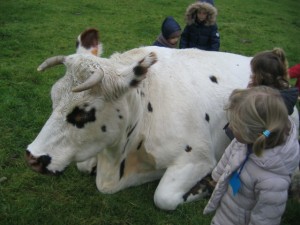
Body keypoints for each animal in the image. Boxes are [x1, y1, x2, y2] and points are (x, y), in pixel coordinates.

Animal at [25, 32, 298, 211]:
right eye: (53, 99)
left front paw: (204, 187)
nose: (32, 157)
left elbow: (164, 198)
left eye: (82, 113)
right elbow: (83, 166)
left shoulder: (198, 158)